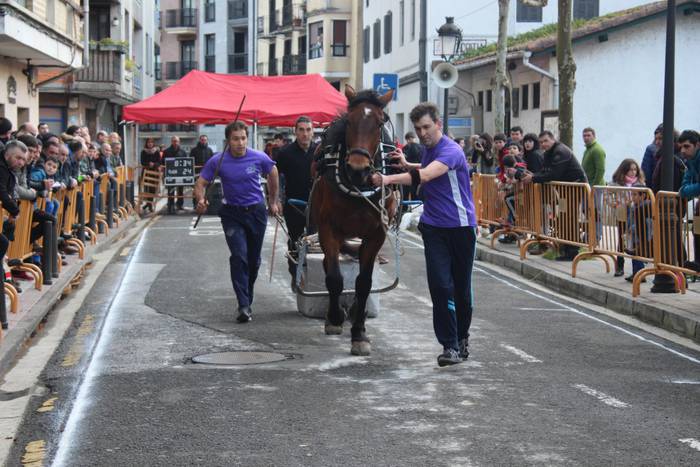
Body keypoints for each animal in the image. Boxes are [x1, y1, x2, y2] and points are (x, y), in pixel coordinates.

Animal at [308, 85, 396, 354]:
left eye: (379, 123)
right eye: (349, 121)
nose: (358, 168)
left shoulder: (376, 233)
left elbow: (364, 282)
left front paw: (359, 333)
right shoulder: (328, 228)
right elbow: (335, 278)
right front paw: (335, 318)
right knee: (328, 265)